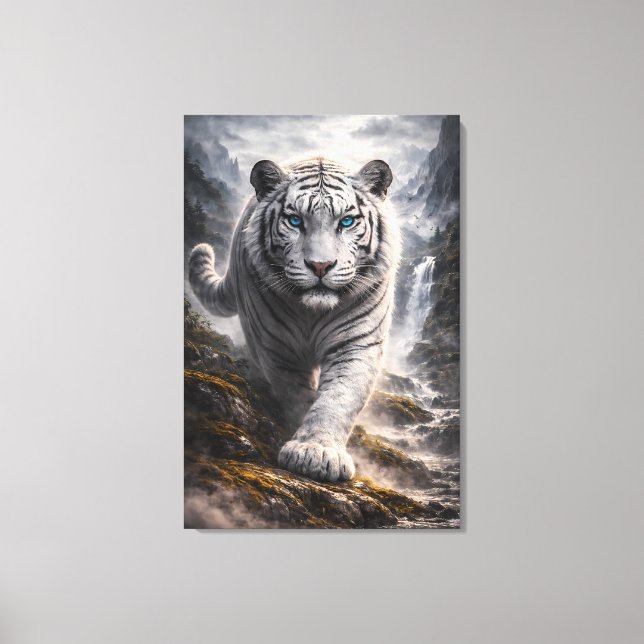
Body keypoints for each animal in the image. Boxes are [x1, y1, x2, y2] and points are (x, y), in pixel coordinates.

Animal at [189, 157, 400, 482]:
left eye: (346, 222)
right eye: (295, 221)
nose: (320, 266)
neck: (312, 312)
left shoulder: (356, 343)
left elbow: (337, 398)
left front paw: (318, 451)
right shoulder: (277, 346)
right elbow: (297, 395)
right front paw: (305, 447)